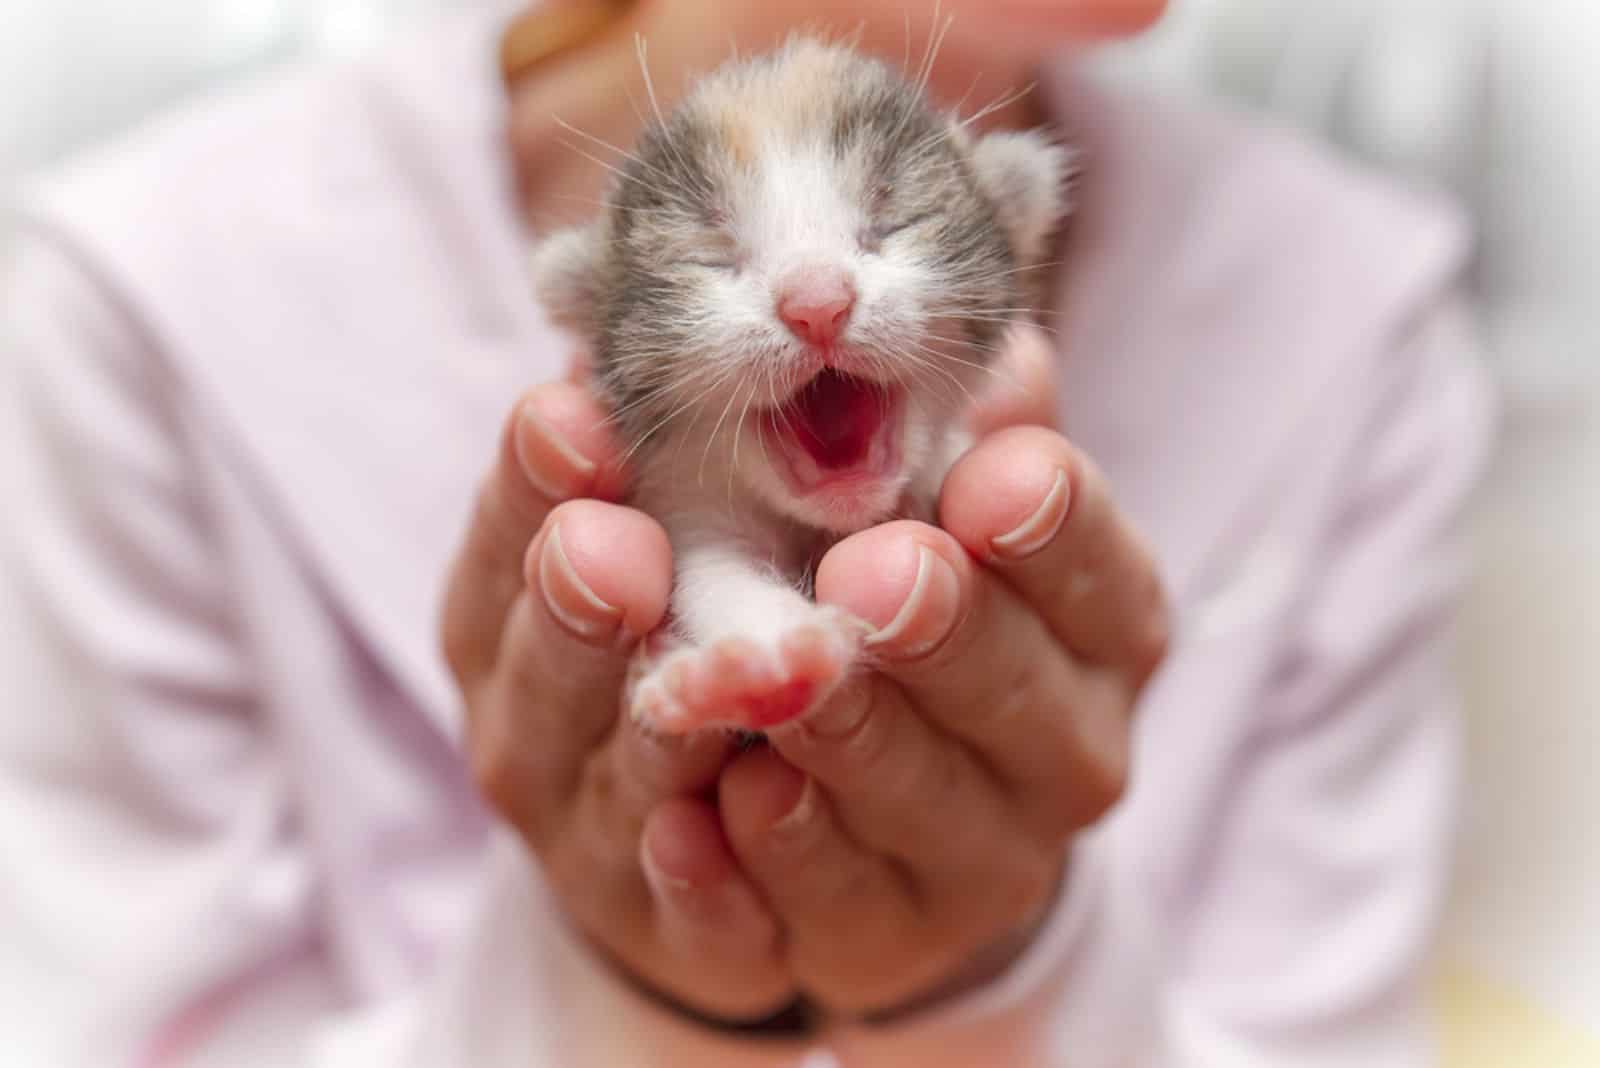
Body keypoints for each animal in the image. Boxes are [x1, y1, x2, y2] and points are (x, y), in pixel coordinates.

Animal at [531, 35, 1068, 735]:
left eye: (891, 222)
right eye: (709, 256)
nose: (817, 304)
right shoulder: (694, 507)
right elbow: (716, 578)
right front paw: (761, 676)